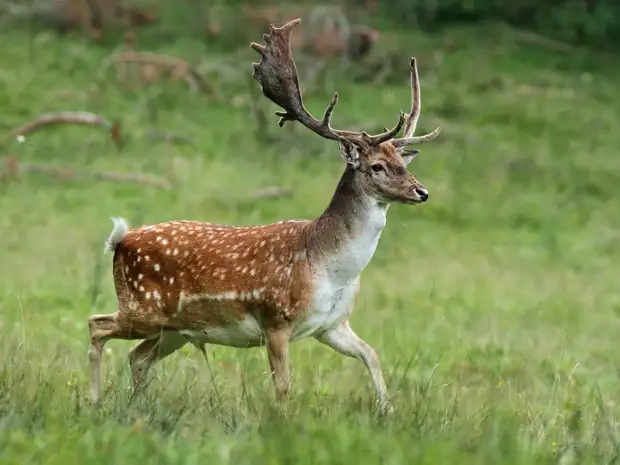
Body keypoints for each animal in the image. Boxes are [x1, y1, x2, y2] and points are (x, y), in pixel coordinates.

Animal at [91, 17, 440, 414]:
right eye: (377, 166)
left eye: (403, 163)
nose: (421, 192)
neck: (330, 267)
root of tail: (120, 241)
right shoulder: (275, 318)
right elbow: (284, 386)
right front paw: (282, 422)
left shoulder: (332, 325)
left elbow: (372, 355)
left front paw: (388, 412)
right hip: (143, 308)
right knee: (96, 326)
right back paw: (94, 400)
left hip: (174, 329)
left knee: (136, 356)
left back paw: (137, 407)